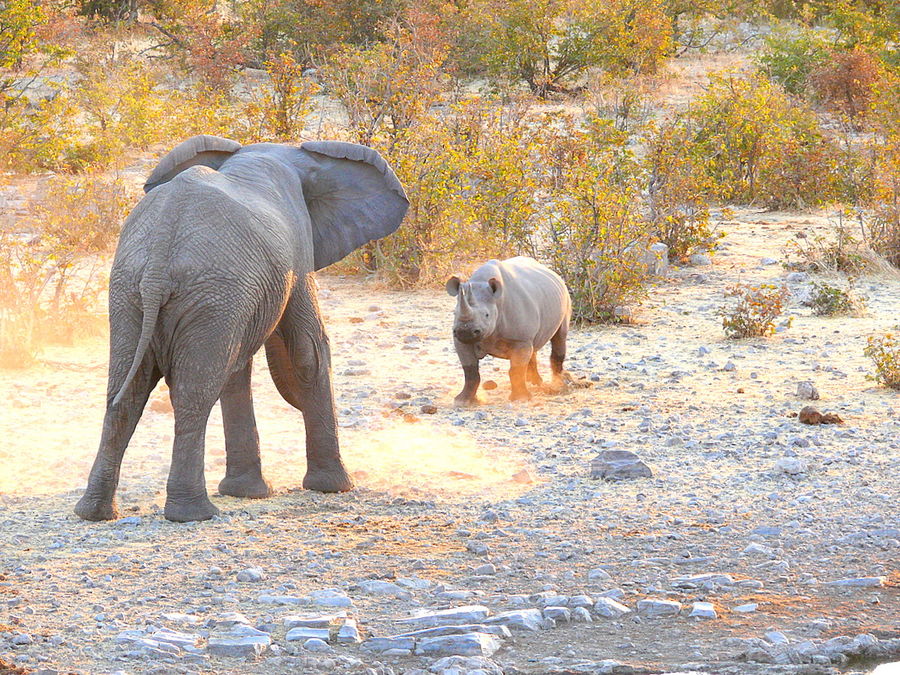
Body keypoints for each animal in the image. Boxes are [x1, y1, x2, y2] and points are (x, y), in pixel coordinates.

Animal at [74, 132, 412, 524]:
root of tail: (160, 251)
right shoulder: (297, 249)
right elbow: (308, 350)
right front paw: (334, 487)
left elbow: (238, 369)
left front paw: (246, 492)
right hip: (205, 293)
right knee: (192, 396)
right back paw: (194, 514)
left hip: (135, 292)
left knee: (125, 395)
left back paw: (95, 512)